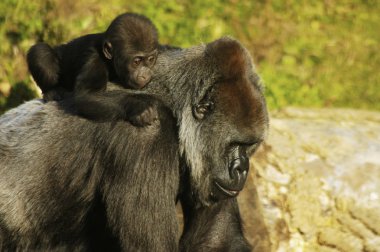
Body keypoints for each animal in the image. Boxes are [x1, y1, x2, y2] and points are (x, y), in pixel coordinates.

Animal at [0, 37, 268, 250]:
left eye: (251, 146)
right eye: (236, 143)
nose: (242, 169)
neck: (173, 104)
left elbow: (217, 239)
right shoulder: (147, 133)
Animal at [26, 12, 157, 125]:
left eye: (150, 59)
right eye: (136, 62)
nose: (145, 74)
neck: (109, 60)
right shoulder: (94, 60)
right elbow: (88, 96)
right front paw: (138, 107)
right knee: (41, 52)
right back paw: (52, 91)